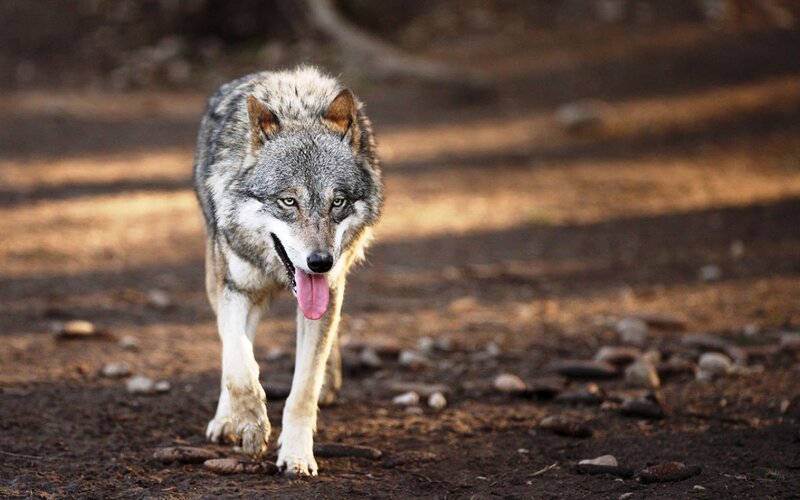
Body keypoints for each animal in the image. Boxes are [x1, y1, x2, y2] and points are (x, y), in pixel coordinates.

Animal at [193, 66, 383, 476]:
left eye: (337, 202)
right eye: (288, 201)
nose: (320, 262)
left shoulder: (330, 291)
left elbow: (304, 387)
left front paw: (297, 455)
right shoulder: (235, 290)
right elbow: (239, 365)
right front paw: (250, 423)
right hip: (218, 282)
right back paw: (226, 420)